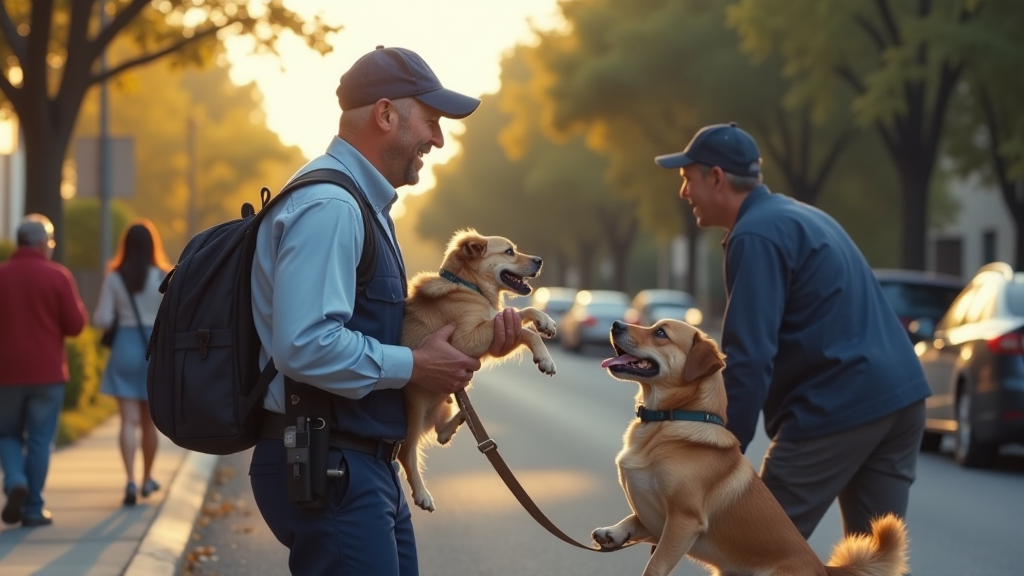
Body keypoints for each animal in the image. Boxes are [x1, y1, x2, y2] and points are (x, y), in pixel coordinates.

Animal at [401, 226, 561, 508]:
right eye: (509, 251)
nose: (540, 260)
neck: (469, 287)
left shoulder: (495, 332)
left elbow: (520, 314)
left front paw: (545, 321)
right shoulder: (467, 338)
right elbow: (526, 331)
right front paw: (545, 358)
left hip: (443, 402)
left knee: (441, 434)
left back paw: (463, 417)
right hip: (415, 408)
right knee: (405, 453)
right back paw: (421, 493)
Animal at [598, 317, 909, 573]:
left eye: (660, 333)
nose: (615, 324)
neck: (668, 420)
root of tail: (822, 568)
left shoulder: (683, 521)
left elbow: (655, 565)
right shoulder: (659, 521)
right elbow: (634, 519)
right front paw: (614, 532)